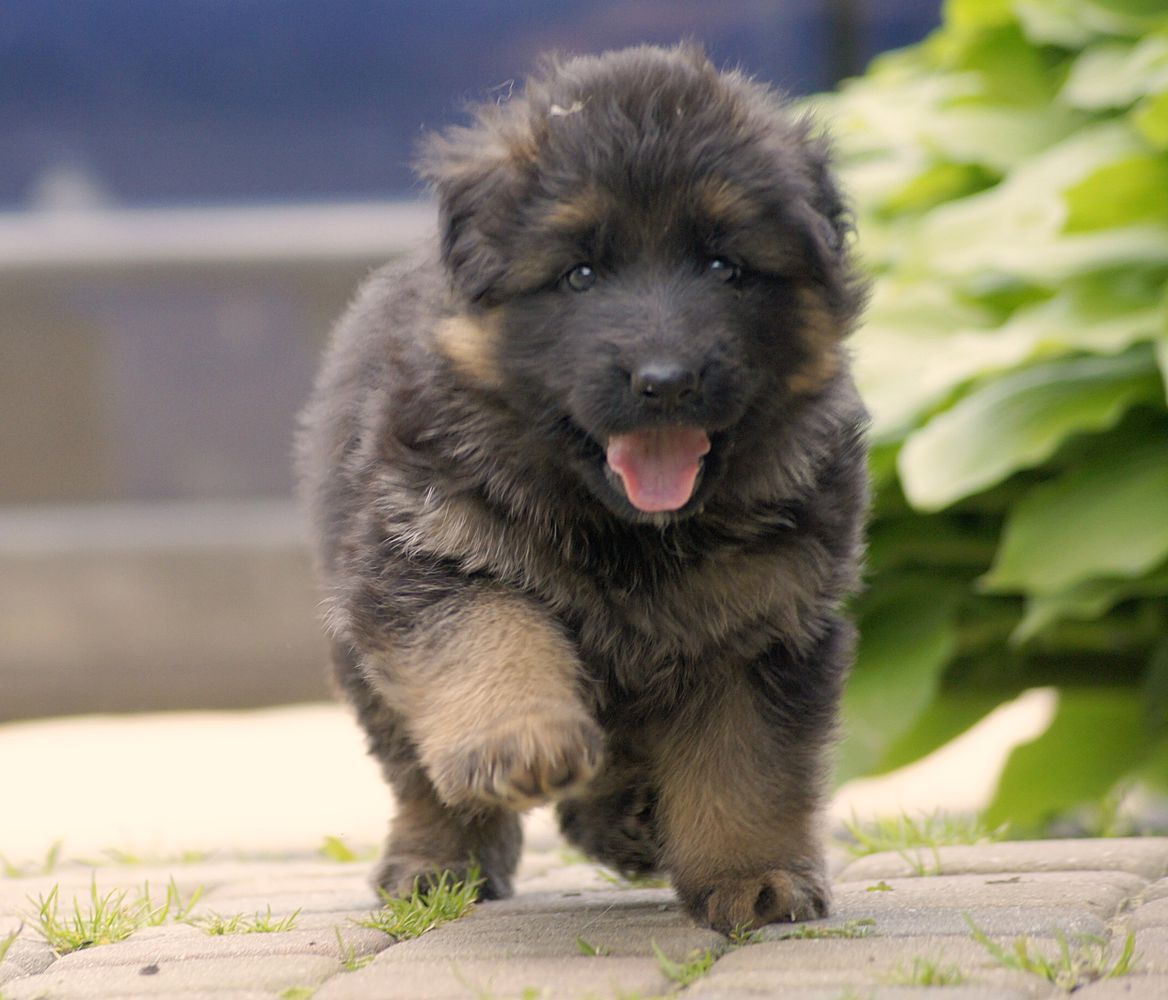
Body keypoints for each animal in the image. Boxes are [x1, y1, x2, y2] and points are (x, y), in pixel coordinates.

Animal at [301, 40, 868, 929]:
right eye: (580, 274)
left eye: (726, 266)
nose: (665, 381)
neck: (625, 531)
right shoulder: (427, 554)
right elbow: (490, 640)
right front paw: (521, 742)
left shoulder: (767, 620)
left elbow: (748, 764)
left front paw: (754, 876)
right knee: (419, 774)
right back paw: (437, 862)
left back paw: (630, 820)